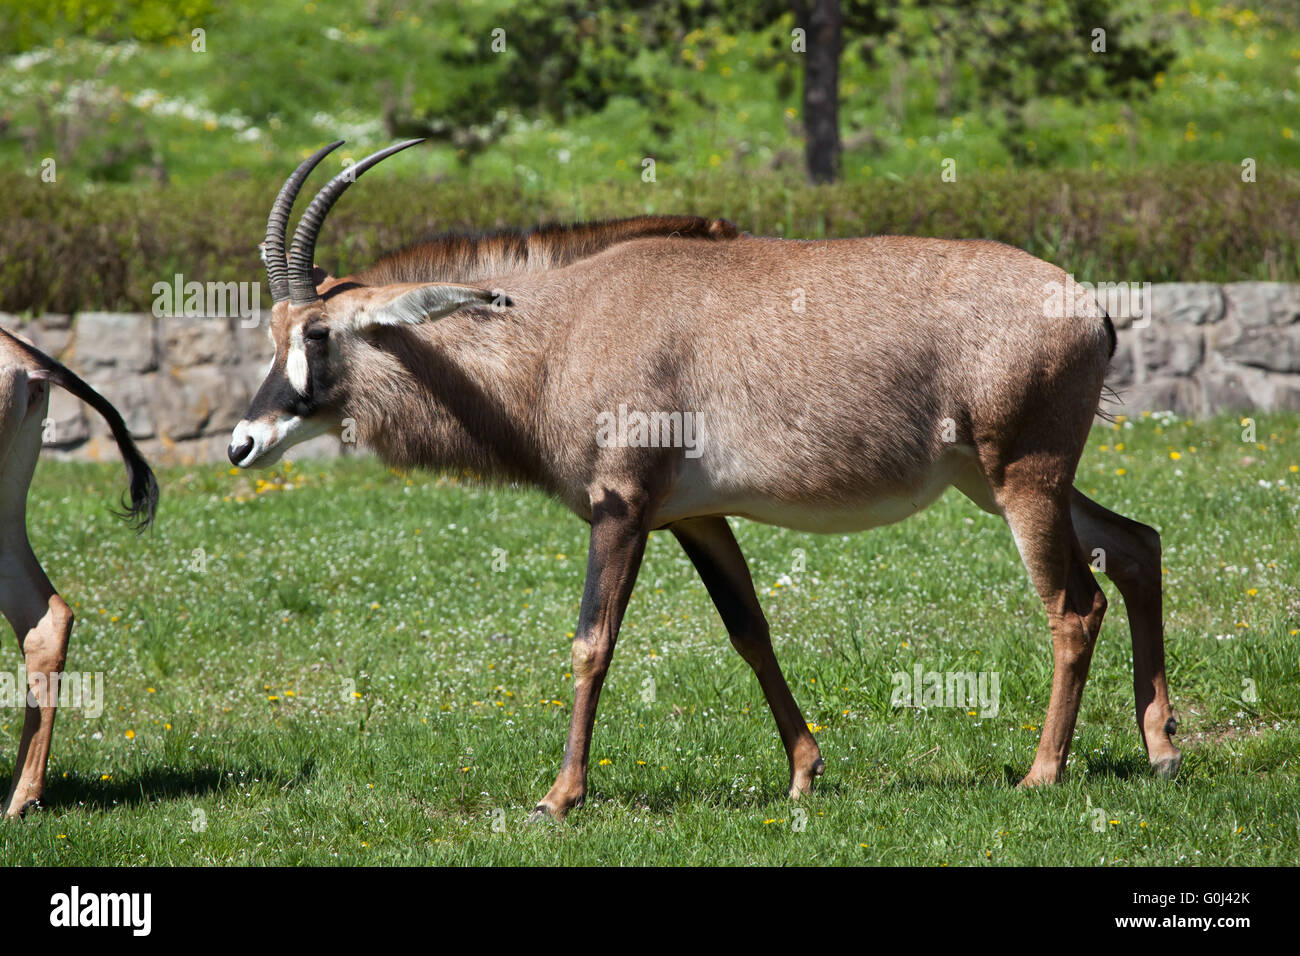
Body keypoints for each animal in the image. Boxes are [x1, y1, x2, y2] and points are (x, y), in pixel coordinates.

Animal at [231, 141, 1180, 822]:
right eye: (273, 329)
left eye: (317, 333)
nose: (243, 441)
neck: (560, 326)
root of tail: (1087, 305)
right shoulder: (695, 517)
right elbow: (750, 631)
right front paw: (804, 773)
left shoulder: (619, 508)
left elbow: (592, 642)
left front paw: (558, 798)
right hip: (1001, 482)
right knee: (1137, 544)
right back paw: (1162, 746)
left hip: (1023, 479)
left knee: (1074, 605)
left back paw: (1043, 774)